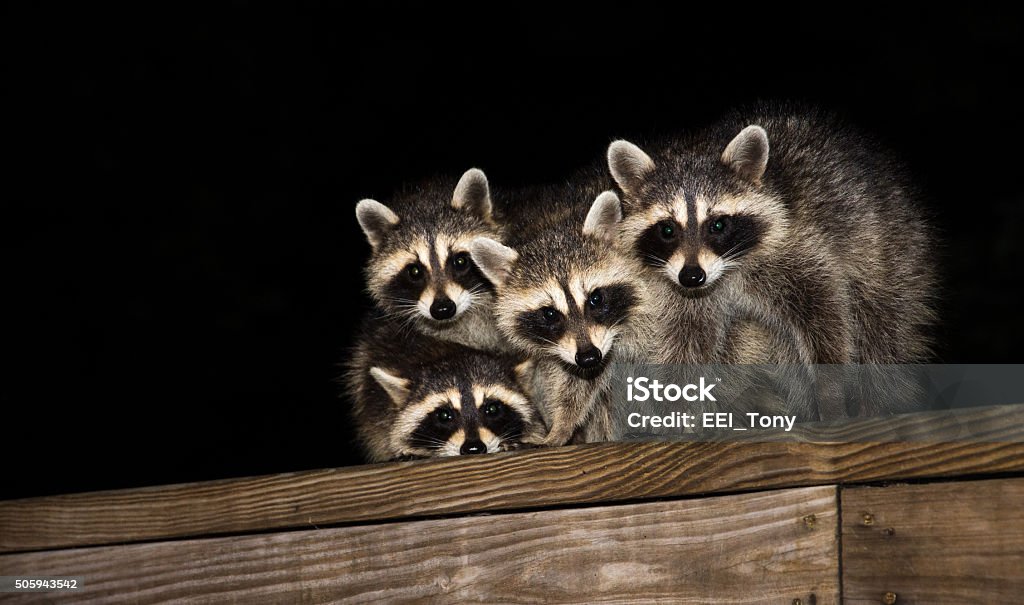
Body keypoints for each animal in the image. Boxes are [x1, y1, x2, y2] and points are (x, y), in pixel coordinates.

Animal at [468, 174, 651, 444]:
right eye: (550, 314)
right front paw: (562, 425)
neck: (553, 224)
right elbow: (575, 381)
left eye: (596, 299)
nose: (589, 356)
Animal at [606, 104, 937, 417]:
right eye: (667, 230)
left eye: (718, 225)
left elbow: (824, 315)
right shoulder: (684, 293)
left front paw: (830, 391)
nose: (692, 276)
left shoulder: (797, 247)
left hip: (890, 249)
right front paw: (678, 407)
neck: (726, 271)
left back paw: (875, 398)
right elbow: (688, 342)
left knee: (881, 326)